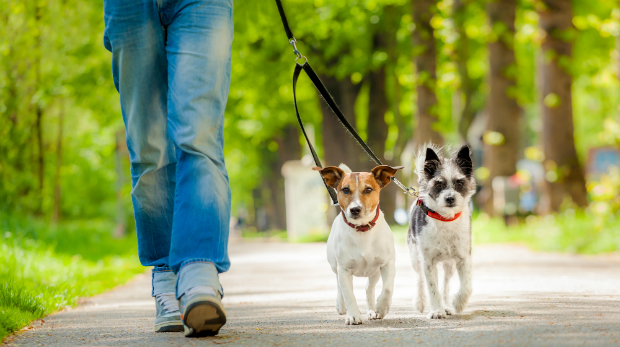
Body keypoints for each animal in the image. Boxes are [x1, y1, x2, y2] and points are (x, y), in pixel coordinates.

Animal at [312, 164, 404, 324]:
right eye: (345, 190)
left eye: (368, 189)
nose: (355, 209)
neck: (362, 229)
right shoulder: (344, 269)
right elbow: (349, 294)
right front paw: (353, 315)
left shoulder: (387, 264)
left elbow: (387, 289)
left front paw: (381, 308)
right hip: (335, 267)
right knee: (339, 286)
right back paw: (341, 306)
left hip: (374, 272)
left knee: (369, 288)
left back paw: (372, 310)